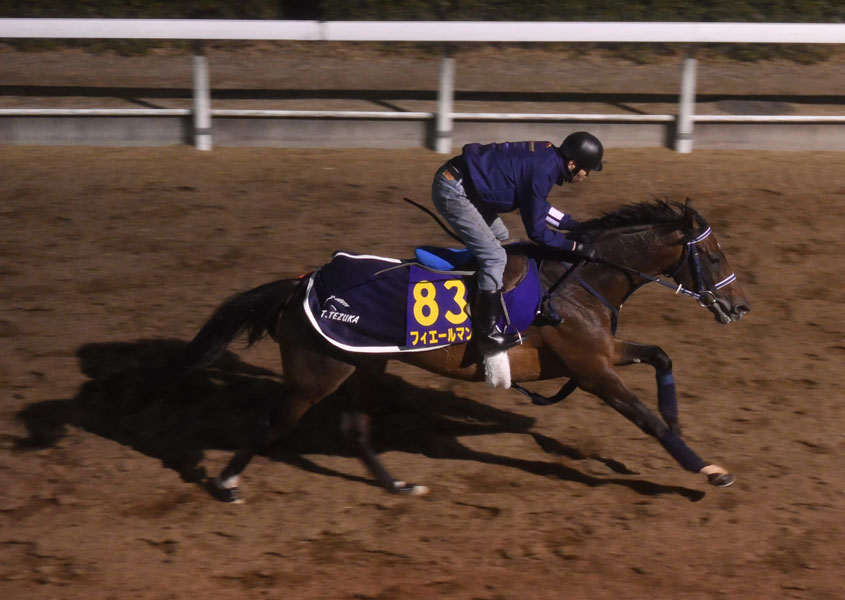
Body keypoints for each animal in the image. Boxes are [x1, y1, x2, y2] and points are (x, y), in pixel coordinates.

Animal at [181, 198, 748, 502]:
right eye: (716, 255)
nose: (739, 307)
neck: (577, 280)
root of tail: (302, 284)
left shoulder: (601, 353)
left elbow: (661, 357)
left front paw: (679, 424)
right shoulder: (591, 369)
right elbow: (645, 419)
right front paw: (707, 469)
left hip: (366, 366)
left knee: (355, 429)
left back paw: (399, 487)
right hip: (319, 374)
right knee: (273, 422)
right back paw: (227, 483)